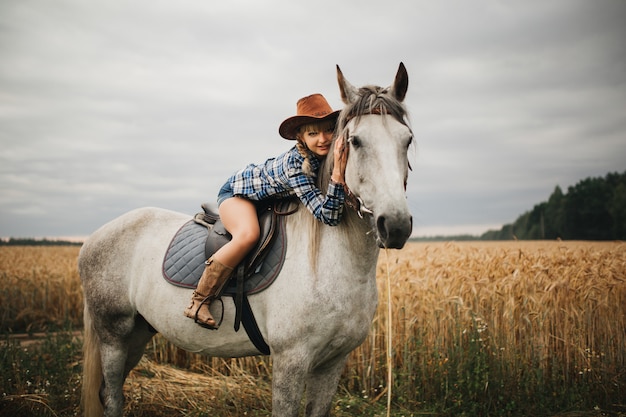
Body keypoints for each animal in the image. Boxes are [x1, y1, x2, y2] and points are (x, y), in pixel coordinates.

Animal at [79, 62, 414, 416]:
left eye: (407, 140)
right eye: (356, 141)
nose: (395, 225)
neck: (328, 264)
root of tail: (94, 238)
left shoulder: (333, 362)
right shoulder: (291, 360)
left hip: (139, 332)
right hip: (113, 334)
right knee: (112, 395)